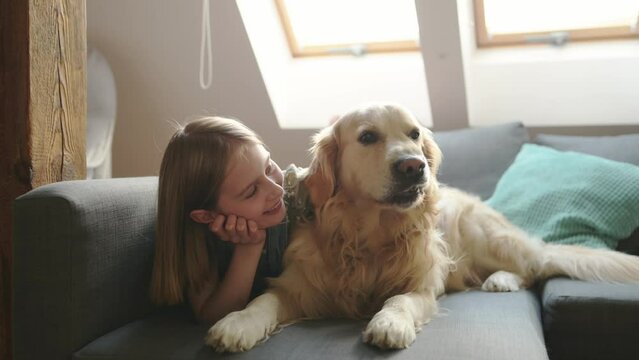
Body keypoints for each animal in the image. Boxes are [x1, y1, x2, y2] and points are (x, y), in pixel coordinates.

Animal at [204, 103, 639, 352]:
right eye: (367, 137)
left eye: (414, 134)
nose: (415, 166)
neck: (369, 234)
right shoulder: (300, 285)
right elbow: (263, 301)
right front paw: (236, 323)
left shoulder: (423, 285)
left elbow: (399, 300)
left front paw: (389, 323)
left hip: (482, 235)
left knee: (532, 268)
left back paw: (501, 279)